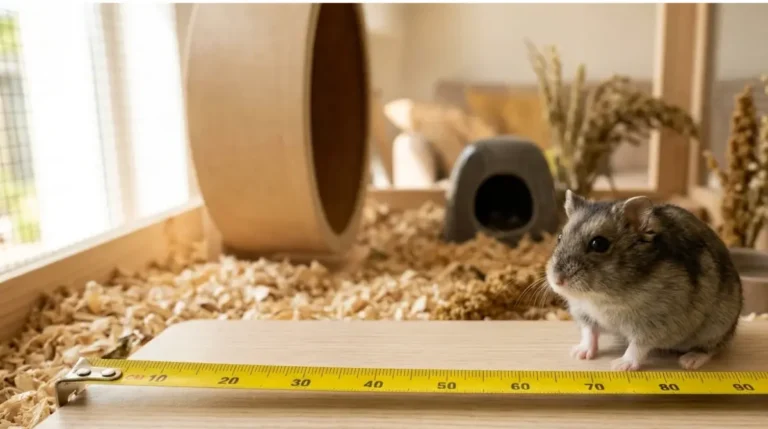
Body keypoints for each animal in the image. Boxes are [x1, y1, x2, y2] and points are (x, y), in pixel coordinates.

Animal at [545, 190, 743, 371]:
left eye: (599, 244)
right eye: (559, 237)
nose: (557, 280)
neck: (601, 296)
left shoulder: (654, 324)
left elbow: (637, 346)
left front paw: (619, 366)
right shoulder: (584, 313)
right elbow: (589, 333)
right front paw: (579, 354)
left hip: (716, 327)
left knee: (712, 348)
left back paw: (689, 361)